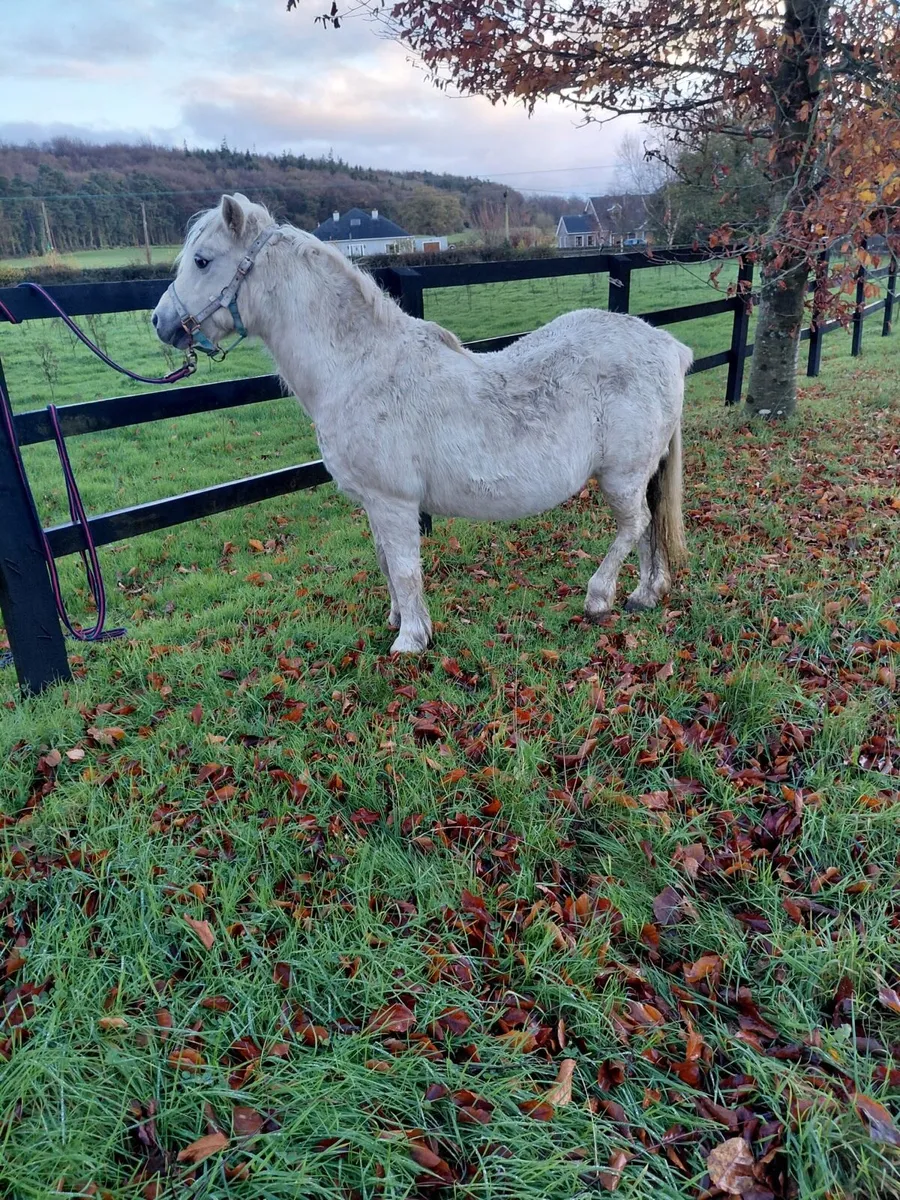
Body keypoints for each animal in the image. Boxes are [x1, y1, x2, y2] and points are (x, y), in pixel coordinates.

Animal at [152, 193, 693, 653]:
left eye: (202, 261)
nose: (161, 322)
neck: (358, 367)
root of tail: (670, 347)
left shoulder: (394, 502)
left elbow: (406, 568)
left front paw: (411, 640)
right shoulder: (374, 504)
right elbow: (386, 563)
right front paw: (397, 618)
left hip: (621, 475)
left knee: (635, 525)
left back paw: (599, 596)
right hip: (640, 474)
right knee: (649, 528)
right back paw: (645, 594)